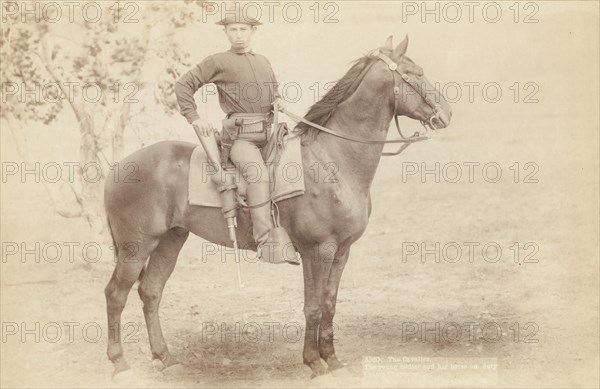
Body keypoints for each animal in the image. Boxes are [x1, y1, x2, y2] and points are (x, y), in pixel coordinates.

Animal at [103, 35, 450, 376]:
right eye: (416, 73)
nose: (445, 114)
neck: (332, 159)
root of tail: (118, 167)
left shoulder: (341, 251)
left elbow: (329, 304)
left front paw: (332, 359)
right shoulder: (317, 250)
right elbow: (313, 306)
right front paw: (314, 362)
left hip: (170, 240)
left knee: (150, 292)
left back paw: (165, 357)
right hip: (136, 247)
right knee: (116, 294)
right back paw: (119, 362)